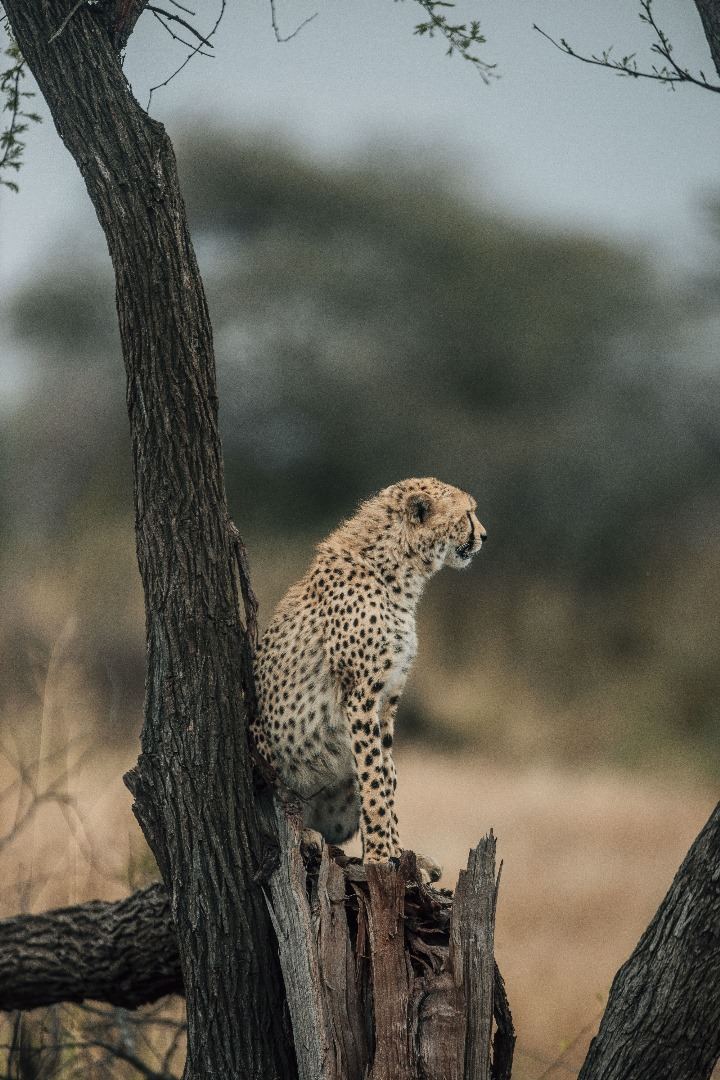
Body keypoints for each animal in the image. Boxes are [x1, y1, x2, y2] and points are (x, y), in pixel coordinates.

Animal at [251, 477, 486, 872]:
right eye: (467, 513)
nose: (484, 535)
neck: (400, 574)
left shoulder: (387, 700)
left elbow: (386, 775)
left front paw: (397, 854)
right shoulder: (359, 696)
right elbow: (375, 779)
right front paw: (378, 857)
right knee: (286, 815)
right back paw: (309, 836)